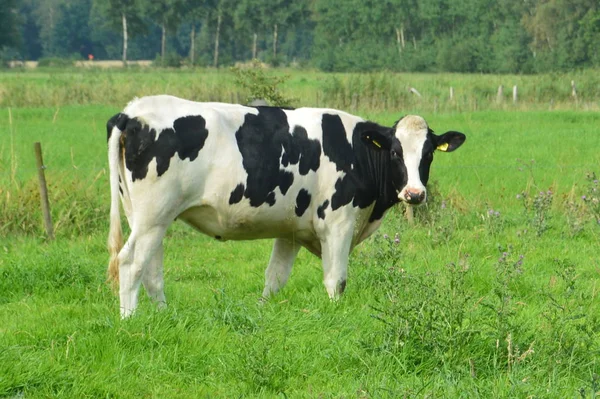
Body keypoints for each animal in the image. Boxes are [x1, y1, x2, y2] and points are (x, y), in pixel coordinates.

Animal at [106, 95, 464, 318]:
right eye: (394, 152)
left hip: (148, 217)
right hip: (153, 215)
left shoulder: (290, 230)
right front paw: (335, 317)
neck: (355, 151)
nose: (415, 193)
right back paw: (129, 321)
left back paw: (164, 316)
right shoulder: (338, 223)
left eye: (428, 154)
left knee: (151, 269)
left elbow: (274, 278)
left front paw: (261, 312)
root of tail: (132, 112)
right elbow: (336, 280)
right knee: (130, 263)